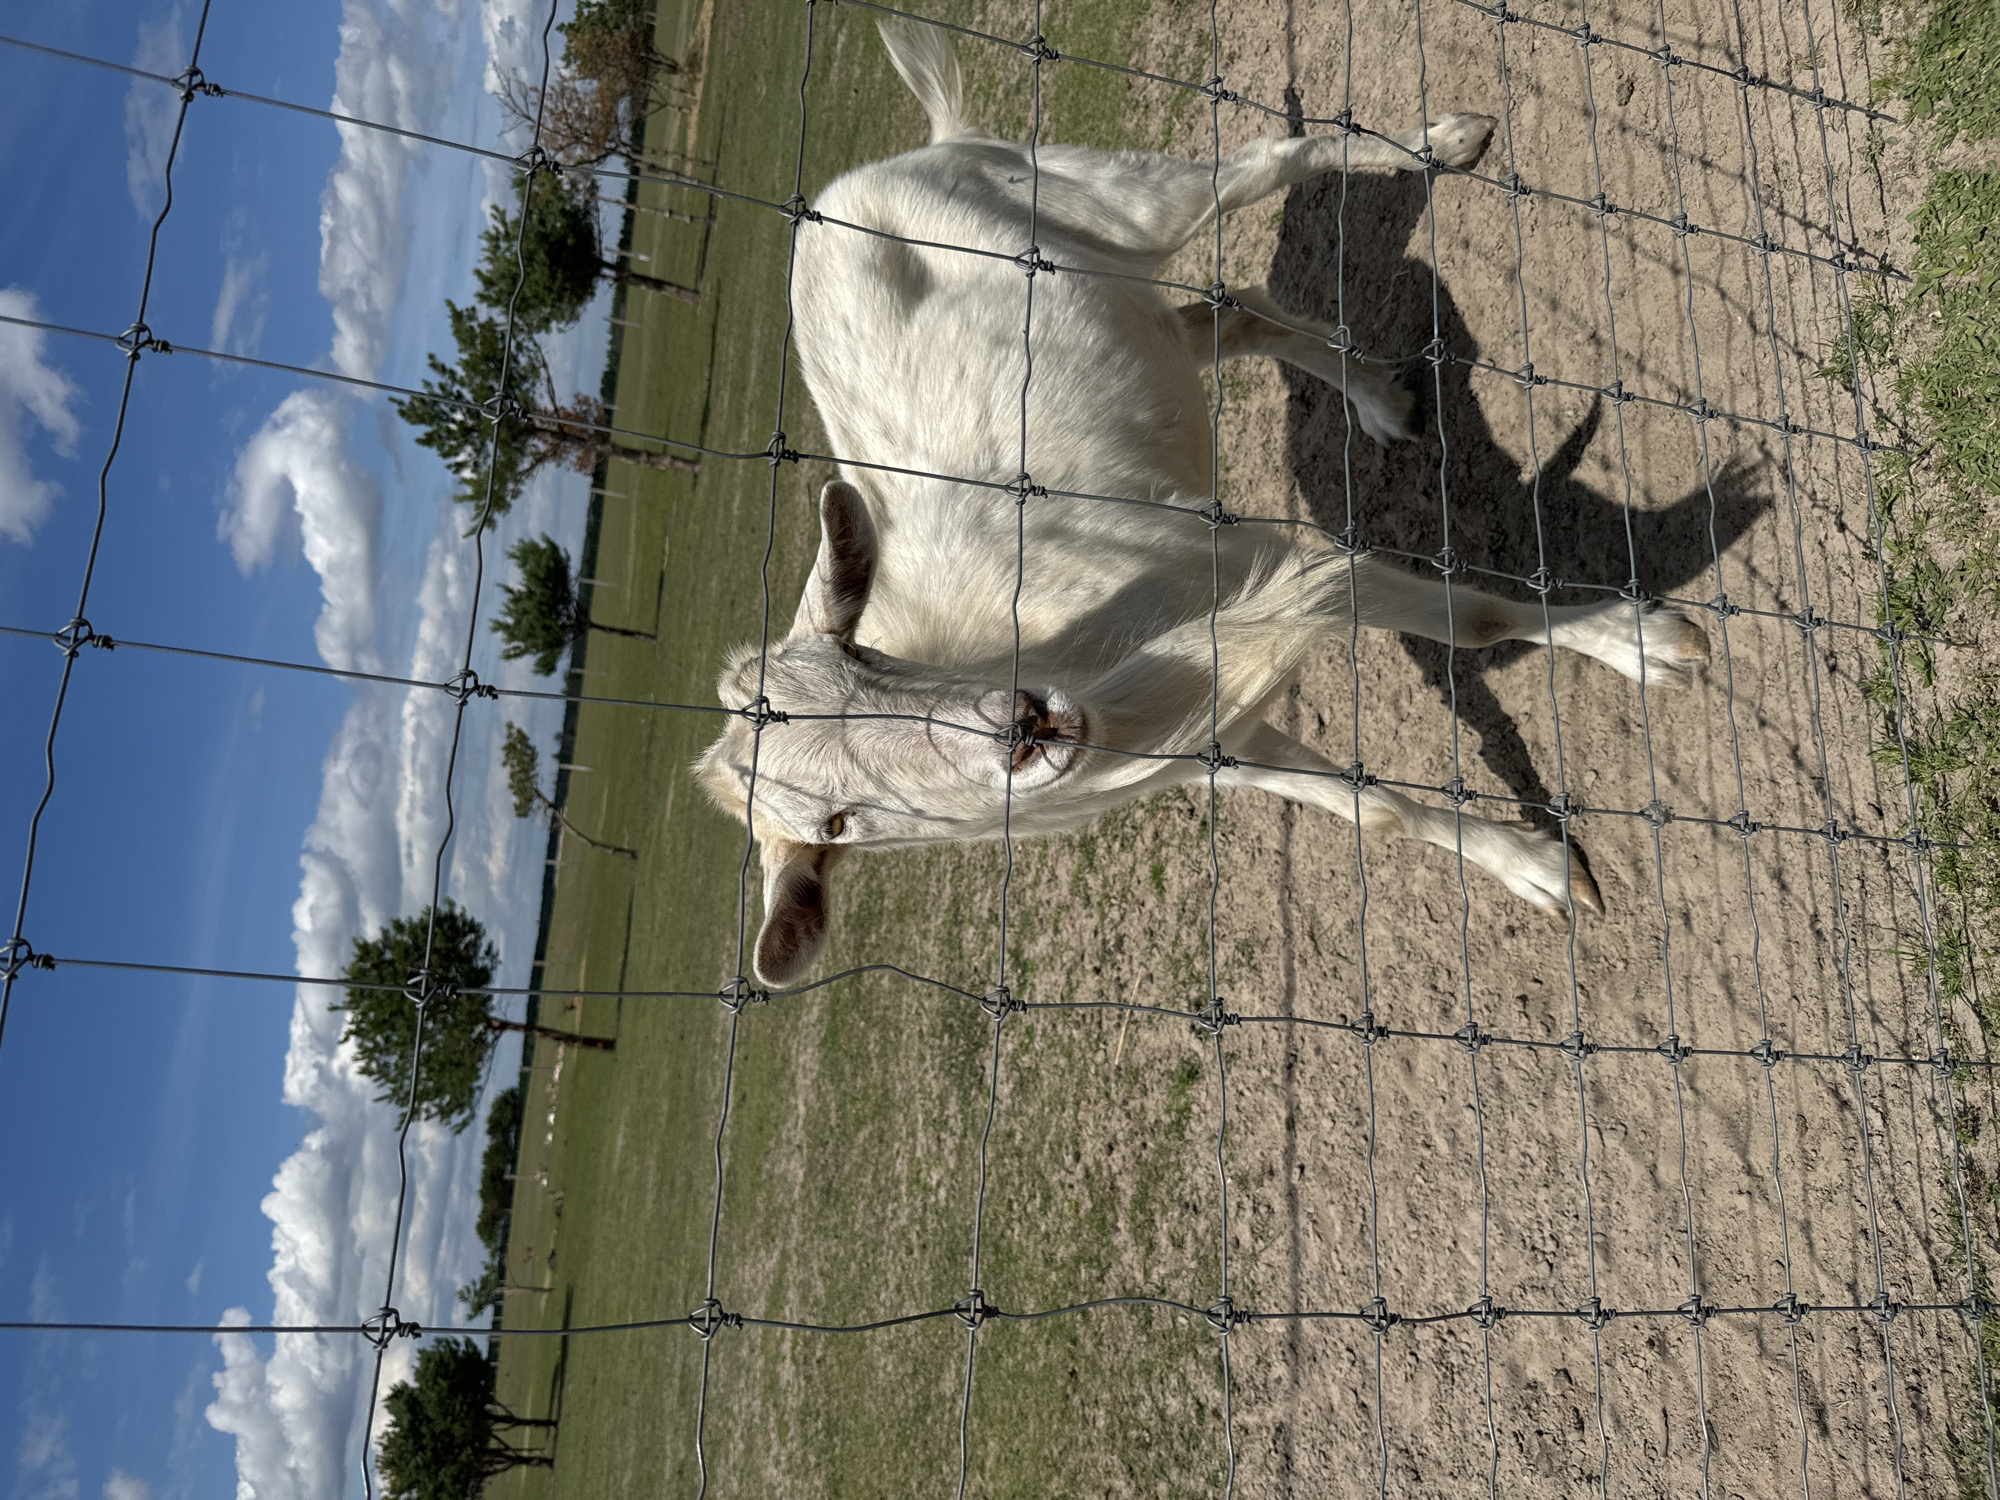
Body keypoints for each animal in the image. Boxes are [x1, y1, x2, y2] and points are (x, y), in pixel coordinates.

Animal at [699, 22, 1710, 986]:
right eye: (838, 824)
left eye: (861, 658)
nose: (1020, 727)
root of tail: (917, 152)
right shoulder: (1216, 731)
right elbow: (1371, 812)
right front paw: (1537, 872)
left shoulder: (1268, 563)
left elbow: (1477, 622)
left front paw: (1646, 645)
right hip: (1128, 302)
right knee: (1228, 315)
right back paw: (1378, 401)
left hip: (1116, 197)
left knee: (1261, 167)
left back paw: (1447, 142)